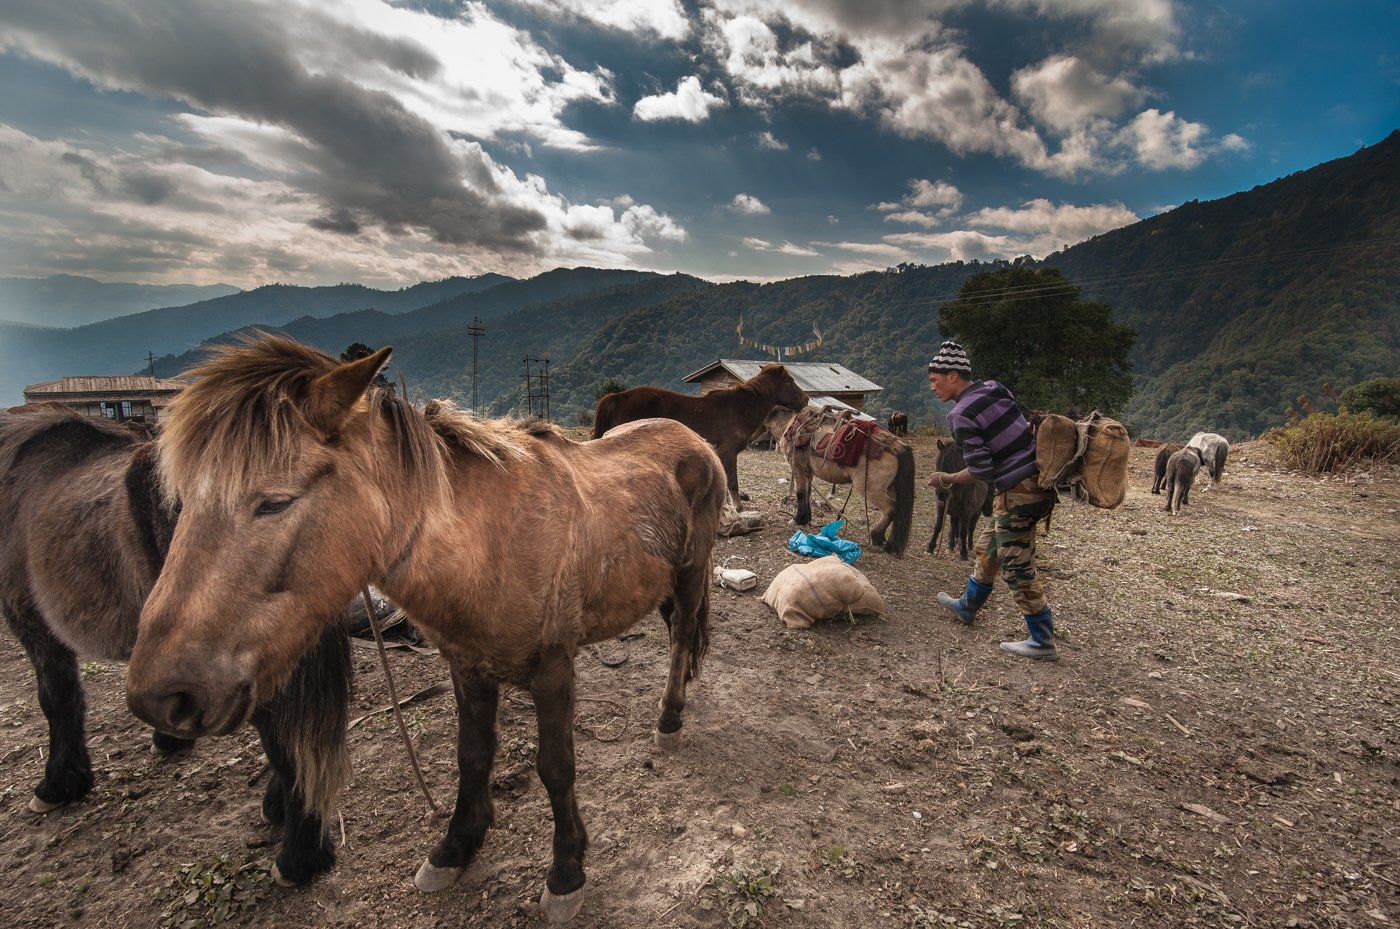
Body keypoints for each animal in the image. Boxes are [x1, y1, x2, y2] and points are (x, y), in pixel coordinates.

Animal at [126, 334, 728, 923]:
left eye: (274, 502)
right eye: (182, 501)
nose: (161, 696)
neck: (491, 544)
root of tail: (694, 441)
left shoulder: (554, 670)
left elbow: (556, 768)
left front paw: (566, 872)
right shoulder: (468, 668)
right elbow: (472, 757)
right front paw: (456, 847)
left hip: (691, 571)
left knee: (681, 637)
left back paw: (669, 718)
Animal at [590, 363, 812, 509]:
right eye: (790, 381)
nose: (806, 399)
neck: (741, 408)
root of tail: (618, 396)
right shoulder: (728, 453)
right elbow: (732, 483)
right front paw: (738, 508)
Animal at [767, 405, 918, 551]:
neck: (790, 425)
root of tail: (897, 447)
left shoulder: (798, 467)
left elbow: (800, 493)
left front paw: (798, 519)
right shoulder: (808, 471)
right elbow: (808, 493)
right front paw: (806, 518)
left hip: (870, 489)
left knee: (891, 508)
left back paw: (877, 537)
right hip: (891, 488)